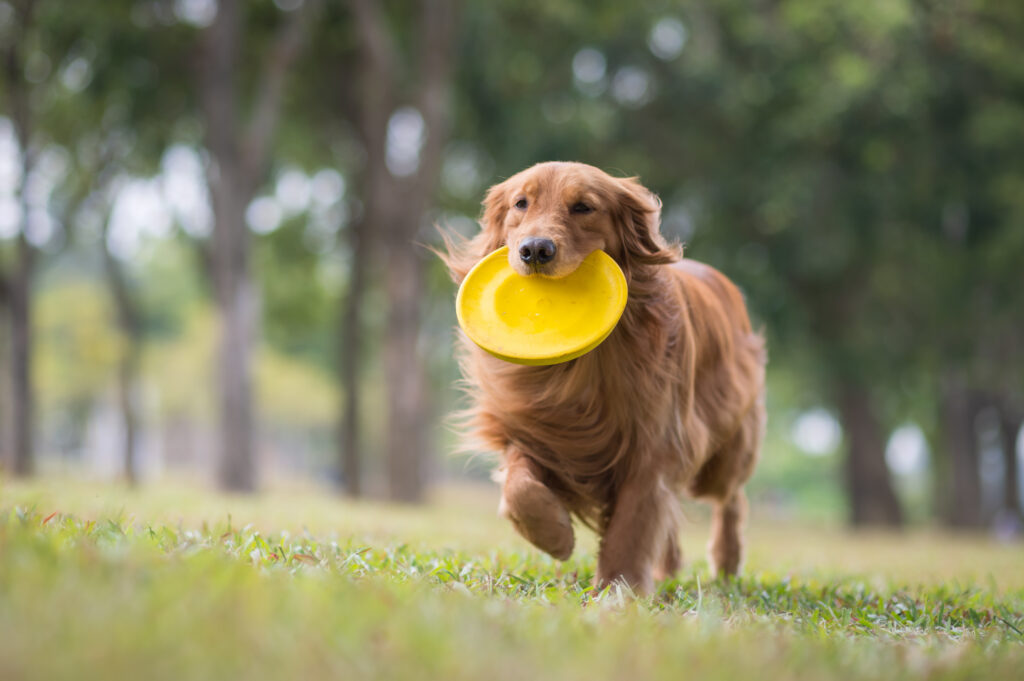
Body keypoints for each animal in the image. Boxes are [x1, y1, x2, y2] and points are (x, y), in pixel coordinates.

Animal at [442, 161, 770, 593]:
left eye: (583, 206)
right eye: (521, 203)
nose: (535, 250)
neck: (581, 366)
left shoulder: (653, 441)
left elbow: (633, 524)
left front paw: (619, 587)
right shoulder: (534, 429)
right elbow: (520, 486)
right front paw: (554, 535)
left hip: (724, 449)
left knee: (731, 498)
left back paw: (726, 561)